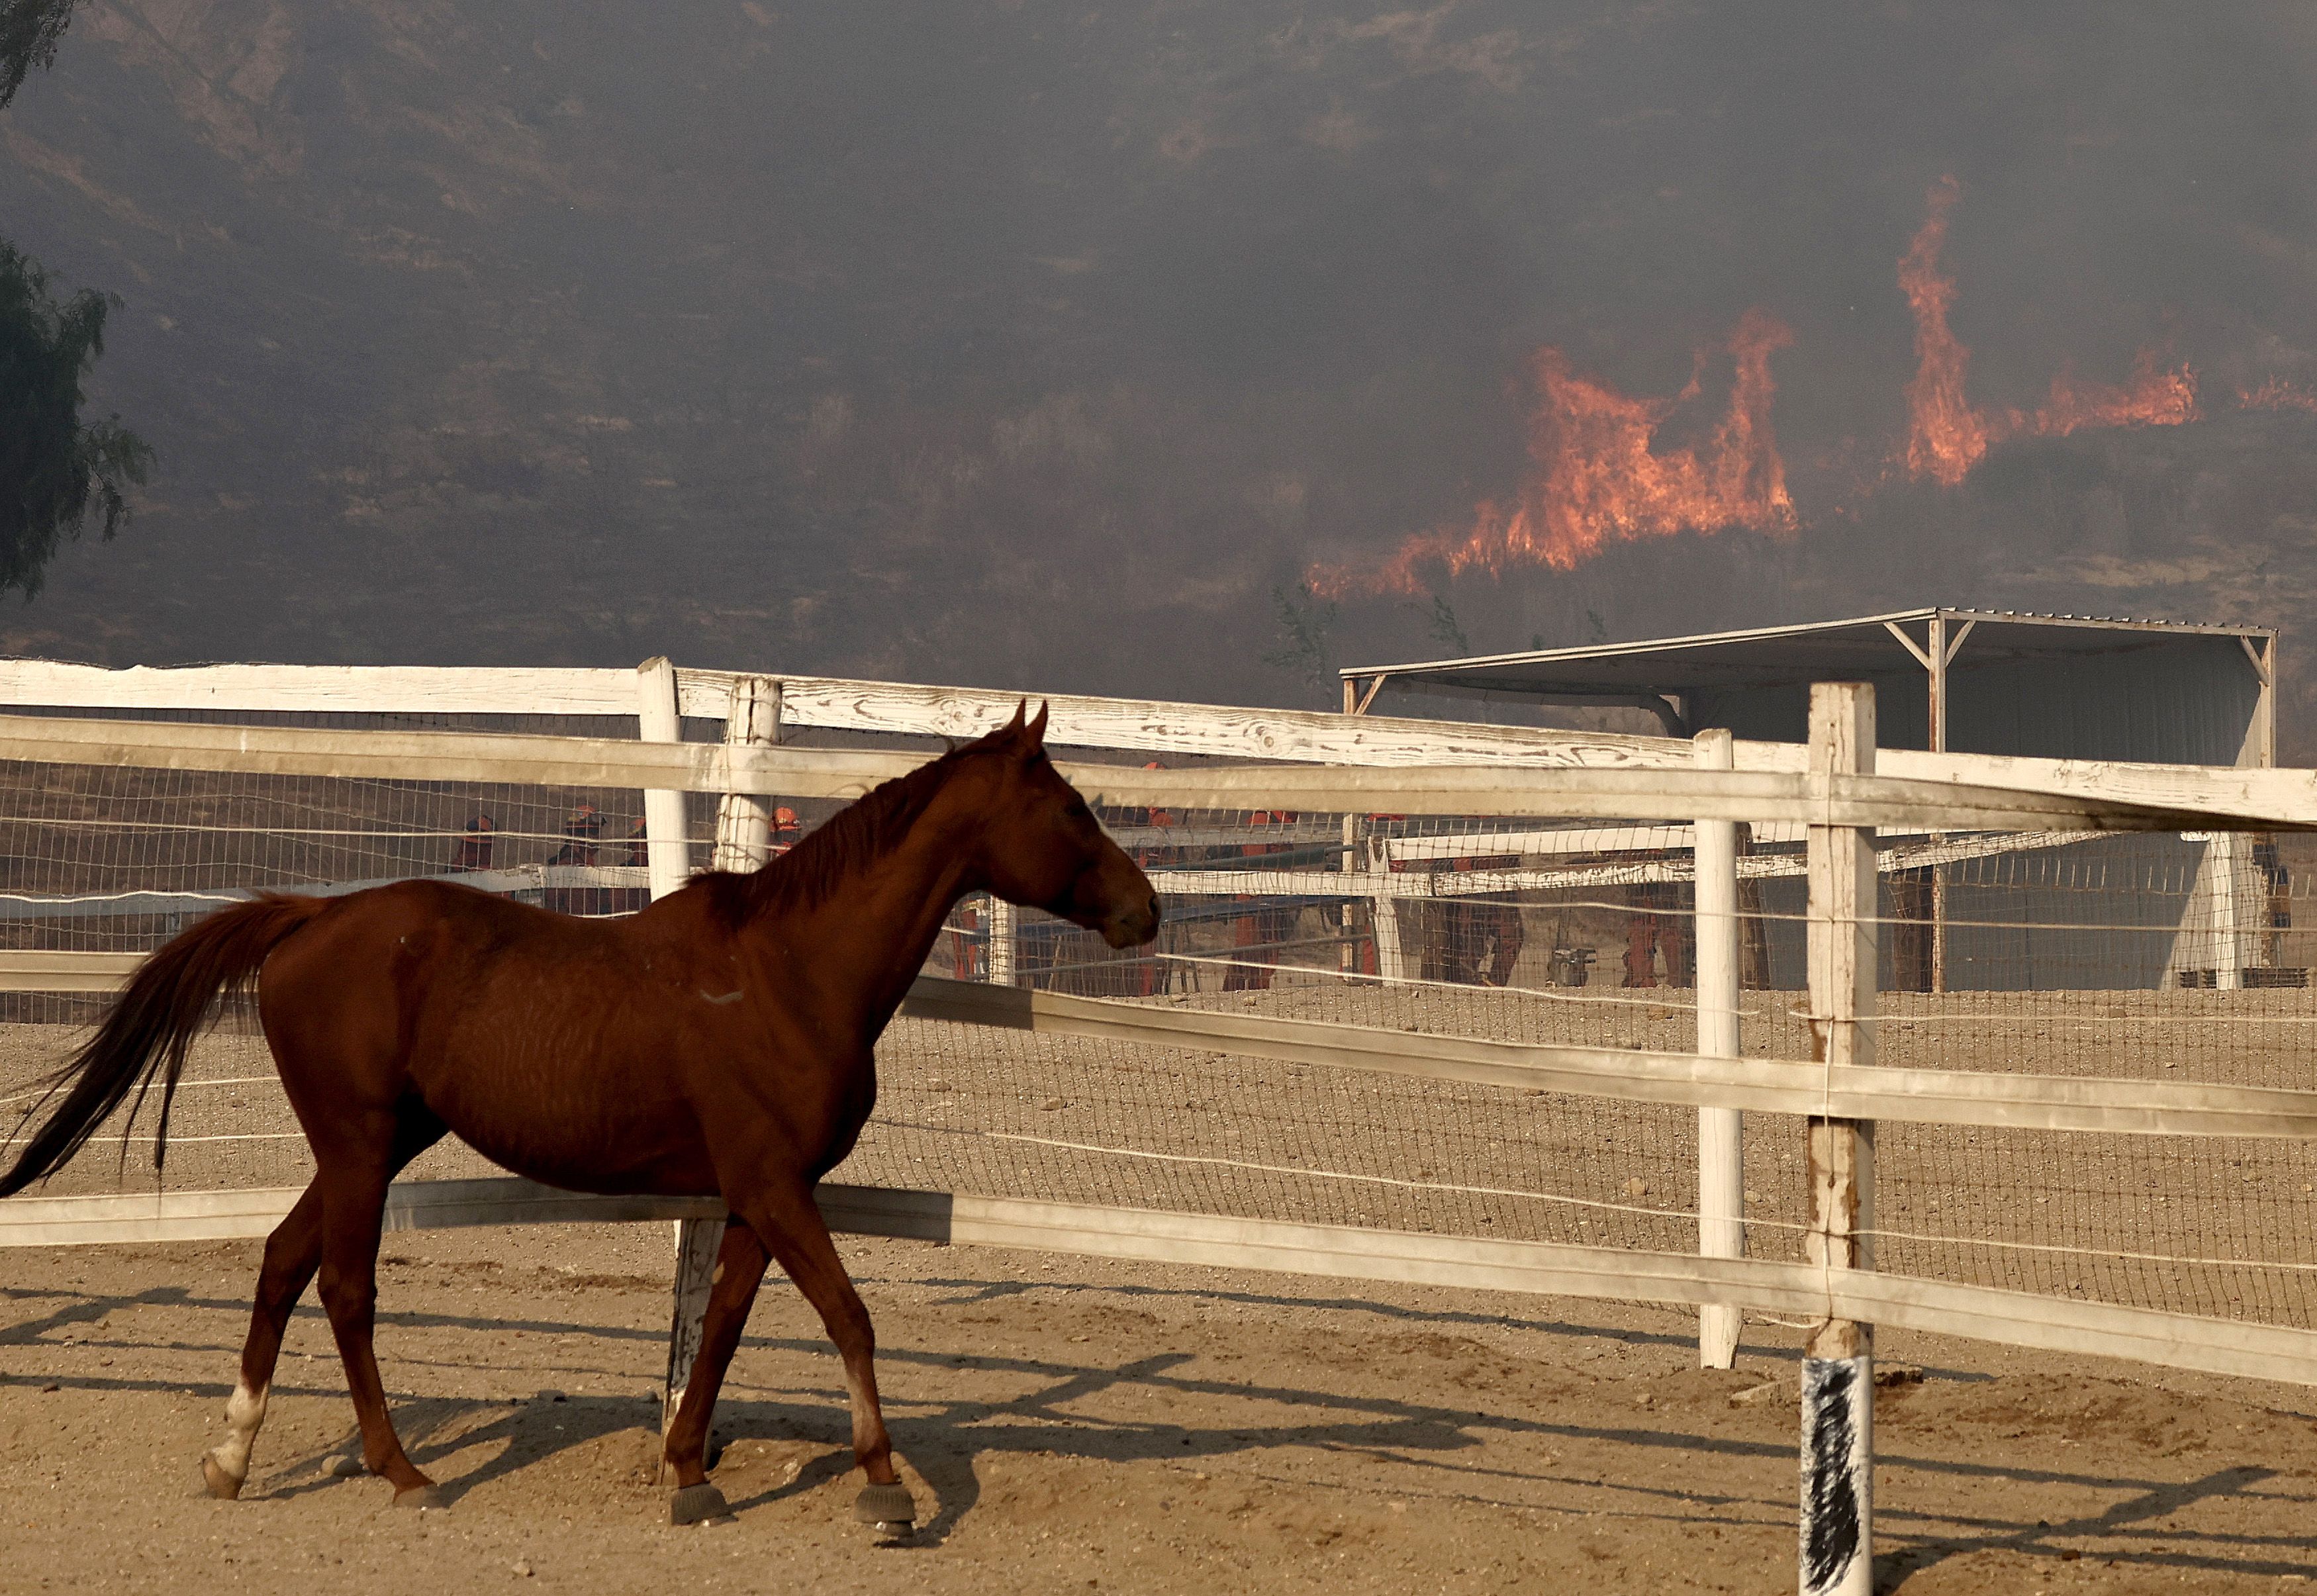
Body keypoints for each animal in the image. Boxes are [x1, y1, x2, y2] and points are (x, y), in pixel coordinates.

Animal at [0, 702, 1159, 1533]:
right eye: (1071, 808)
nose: (1145, 909)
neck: (792, 972)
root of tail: (313, 916)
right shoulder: (777, 1186)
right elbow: (848, 1314)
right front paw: (884, 1485)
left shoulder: (756, 1193)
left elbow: (724, 1325)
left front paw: (690, 1469)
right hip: (361, 1145)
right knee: (344, 1288)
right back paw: (403, 1470)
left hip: (370, 1143)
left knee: (284, 1263)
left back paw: (233, 1456)